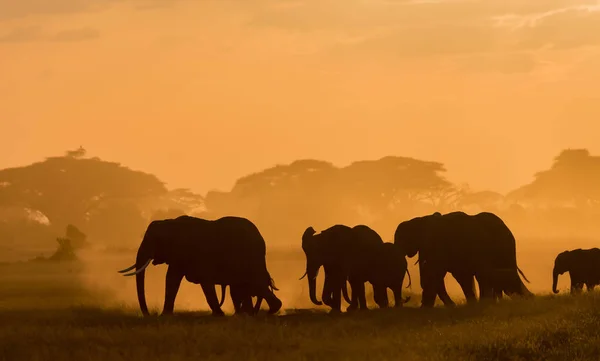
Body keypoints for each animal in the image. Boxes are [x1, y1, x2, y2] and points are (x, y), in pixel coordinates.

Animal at [120, 215, 286, 316]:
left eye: (152, 240)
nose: (149, 314)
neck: (169, 223)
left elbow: (205, 282)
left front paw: (219, 315)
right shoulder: (179, 255)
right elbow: (172, 279)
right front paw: (164, 316)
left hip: (251, 257)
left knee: (255, 283)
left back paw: (268, 311)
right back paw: (249, 314)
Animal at [396, 211, 532, 306]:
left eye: (402, 240)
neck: (421, 220)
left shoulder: (435, 244)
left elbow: (434, 274)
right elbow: (459, 276)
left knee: (494, 276)